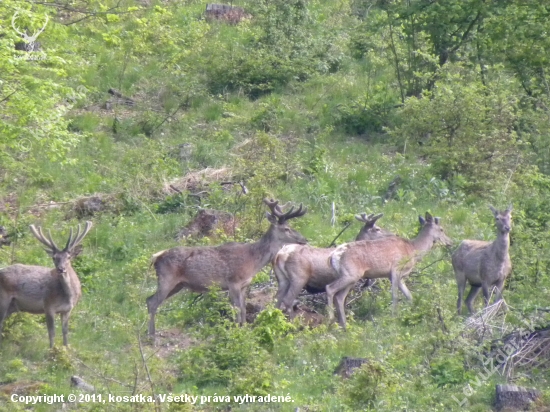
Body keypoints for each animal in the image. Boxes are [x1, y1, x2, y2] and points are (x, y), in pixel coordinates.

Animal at [147, 199, 308, 338]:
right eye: (286, 229)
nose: (305, 239)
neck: (252, 261)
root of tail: (156, 257)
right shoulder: (233, 282)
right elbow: (237, 309)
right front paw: (237, 331)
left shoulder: (244, 285)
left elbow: (243, 308)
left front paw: (244, 329)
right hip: (166, 279)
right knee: (153, 302)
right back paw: (152, 336)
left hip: (178, 285)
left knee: (148, 300)